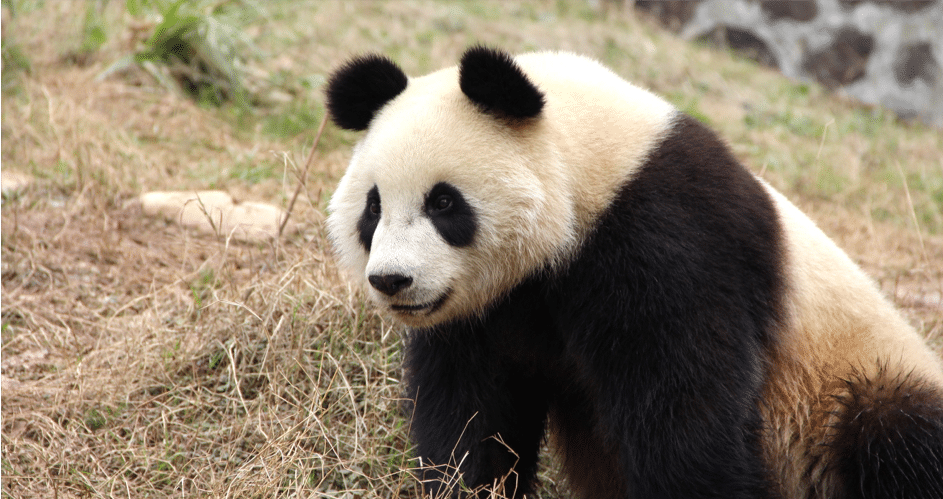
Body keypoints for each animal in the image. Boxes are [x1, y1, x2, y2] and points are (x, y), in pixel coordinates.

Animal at [324, 47, 943, 499]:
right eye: (373, 208)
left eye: (444, 203)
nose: (392, 280)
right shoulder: (487, 311)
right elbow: (471, 411)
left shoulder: (667, 238)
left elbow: (684, 408)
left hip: (843, 384)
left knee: (895, 436)